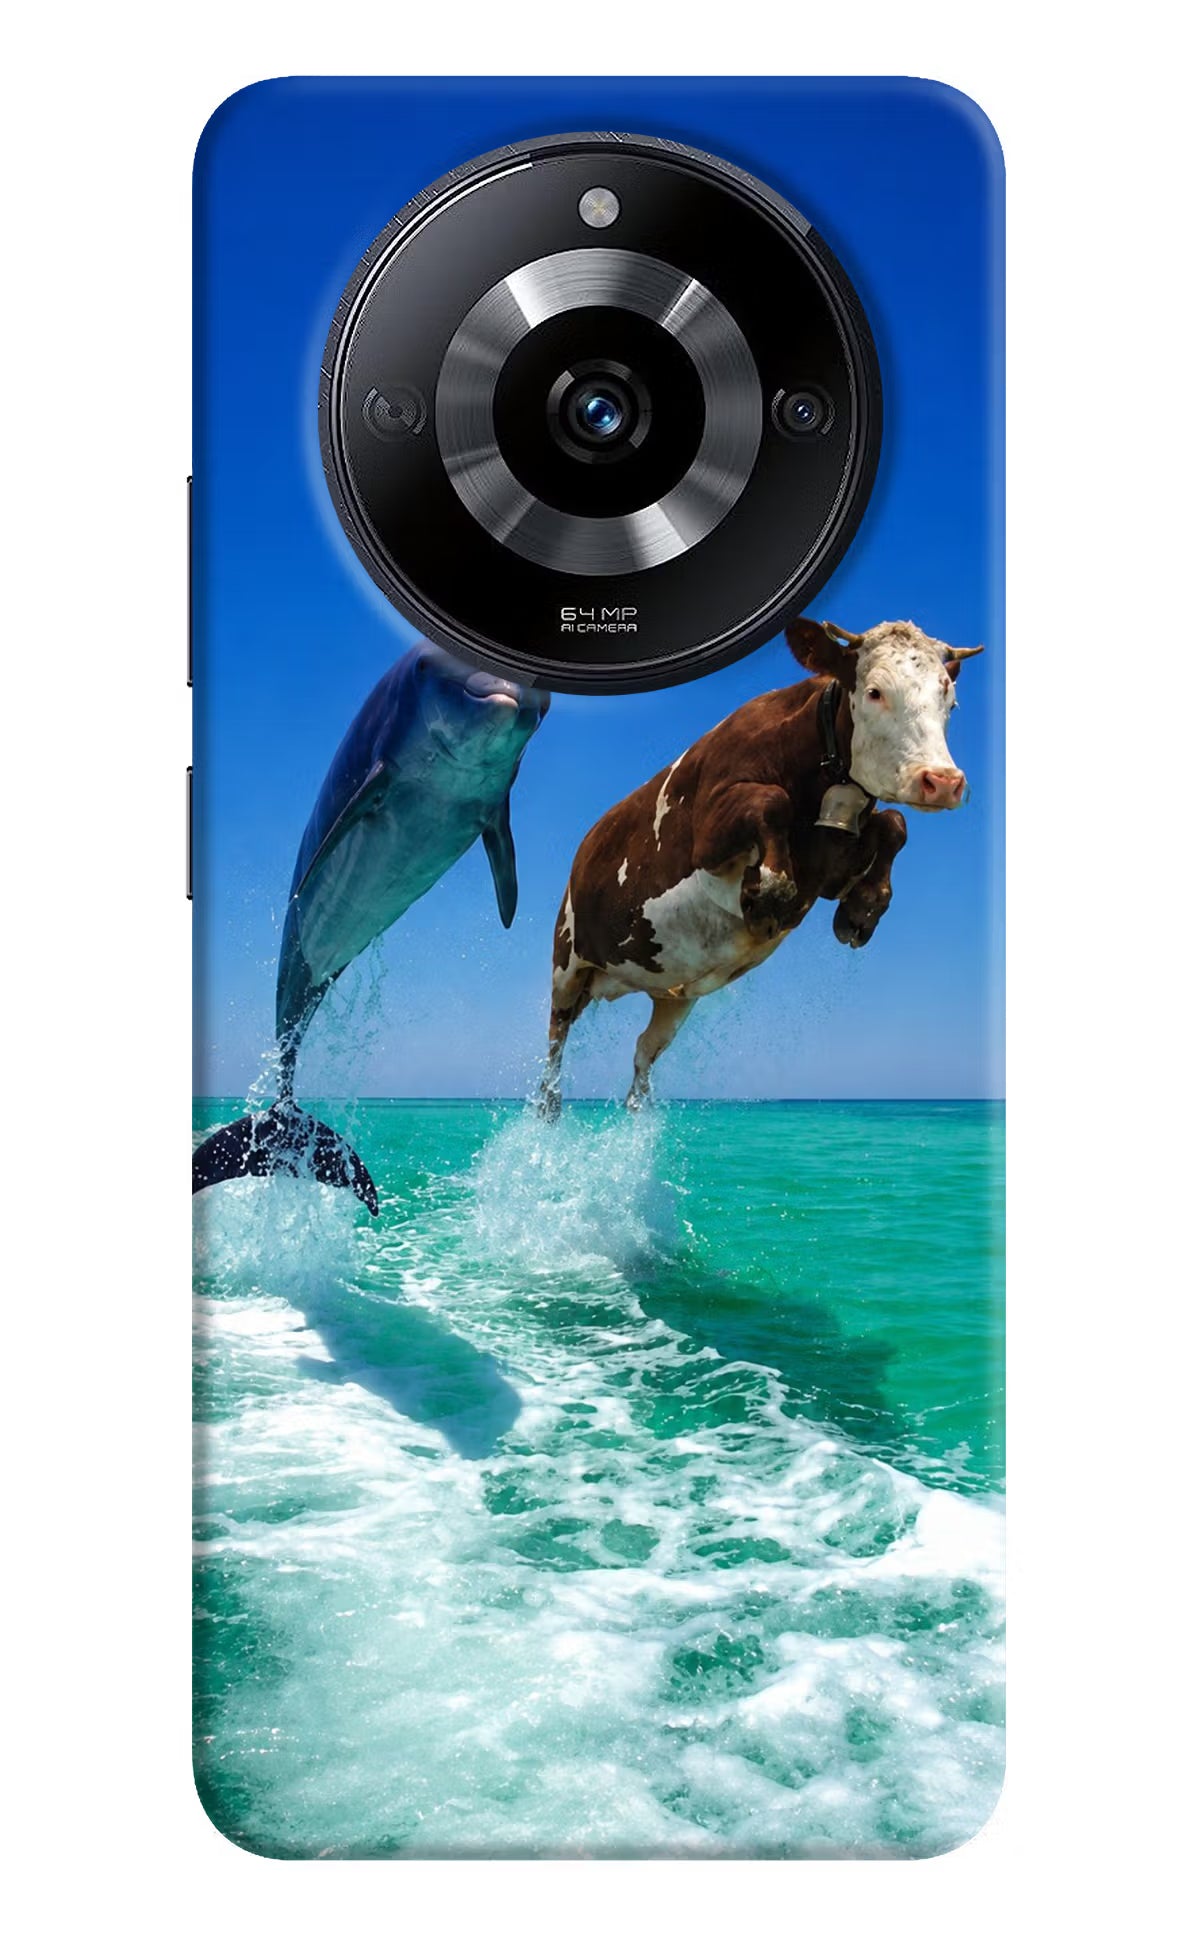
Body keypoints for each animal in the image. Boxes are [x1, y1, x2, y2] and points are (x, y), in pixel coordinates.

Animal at [537, 617, 983, 1116]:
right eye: (874, 691)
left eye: (950, 699)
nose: (942, 781)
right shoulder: (709, 834)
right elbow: (773, 801)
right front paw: (768, 894)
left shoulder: (829, 868)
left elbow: (894, 824)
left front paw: (862, 910)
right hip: (566, 962)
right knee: (554, 1044)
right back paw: (549, 1107)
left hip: (673, 994)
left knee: (643, 1053)